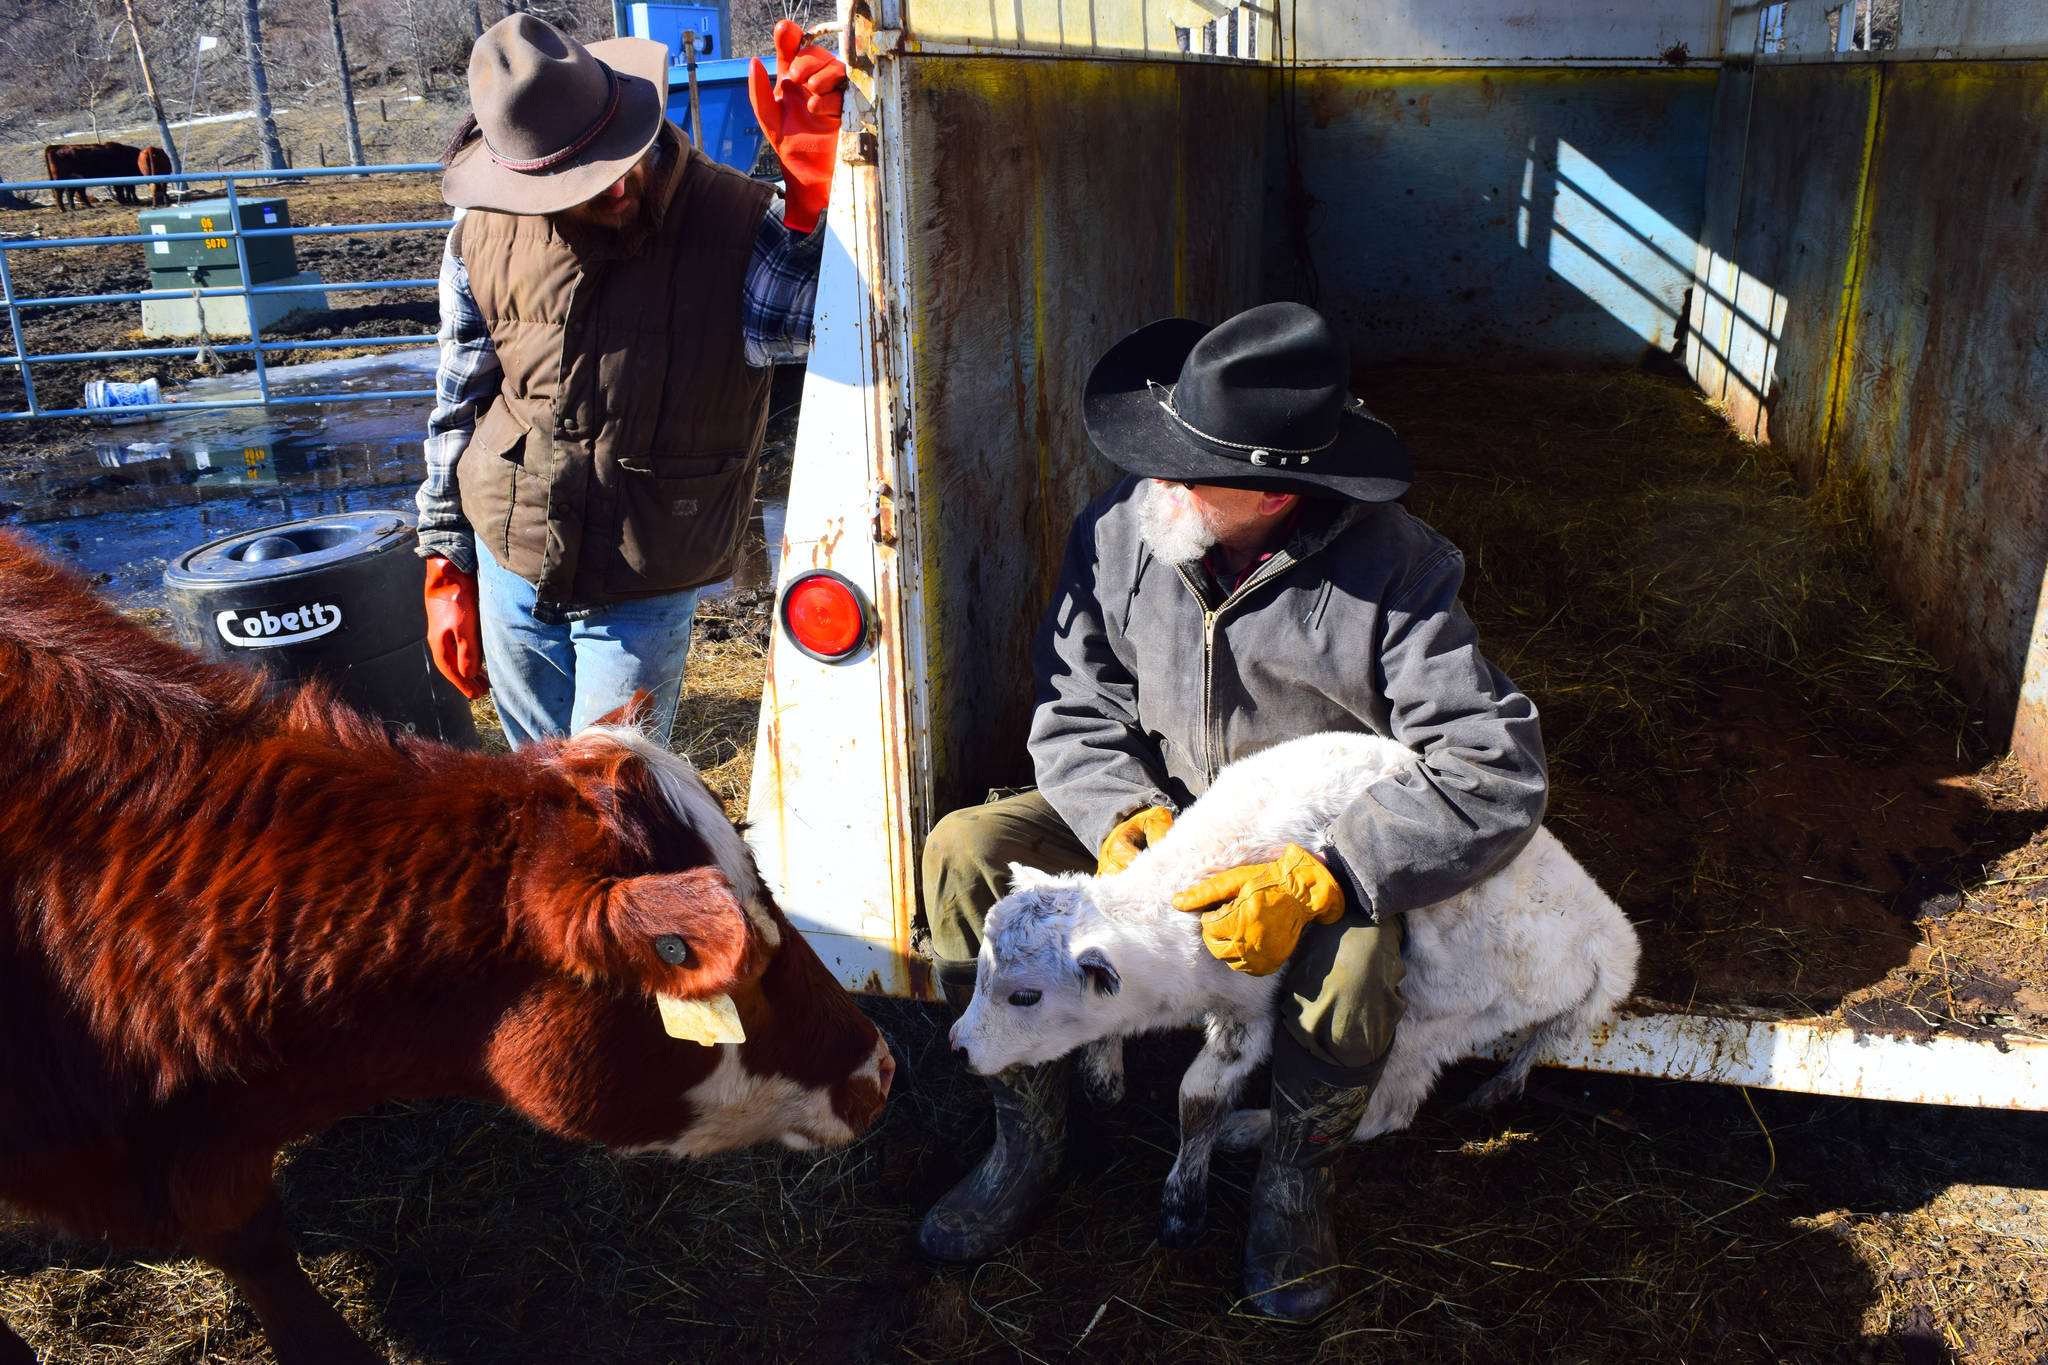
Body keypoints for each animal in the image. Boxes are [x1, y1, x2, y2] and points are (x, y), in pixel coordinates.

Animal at [950, 736, 1638, 1252]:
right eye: (982, 971)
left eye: (1026, 997)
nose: (959, 1047)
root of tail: (1609, 943)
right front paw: (1103, 1075)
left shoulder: (1248, 1015)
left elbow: (1198, 1098)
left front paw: (1182, 1202)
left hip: (1438, 1021)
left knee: (1382, 1110)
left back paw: (1253, 1129)